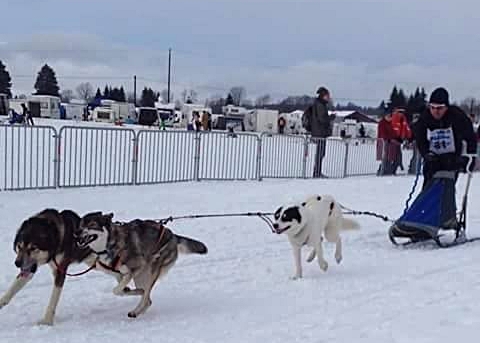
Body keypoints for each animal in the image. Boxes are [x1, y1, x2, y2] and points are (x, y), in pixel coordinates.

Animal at [78, 212, 207, 320]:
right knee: (147, 297)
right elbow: (121, 287)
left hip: (148, 273)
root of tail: (172, 235)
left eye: (92, 224)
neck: (109, 246)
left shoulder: (136, 267)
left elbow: (116, 290)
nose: (77, 233)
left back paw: (136, 311)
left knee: (147, 298)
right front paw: (130, 290)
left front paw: (134, 291)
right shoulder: (116, 272)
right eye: (81, 225)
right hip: (141, 276)